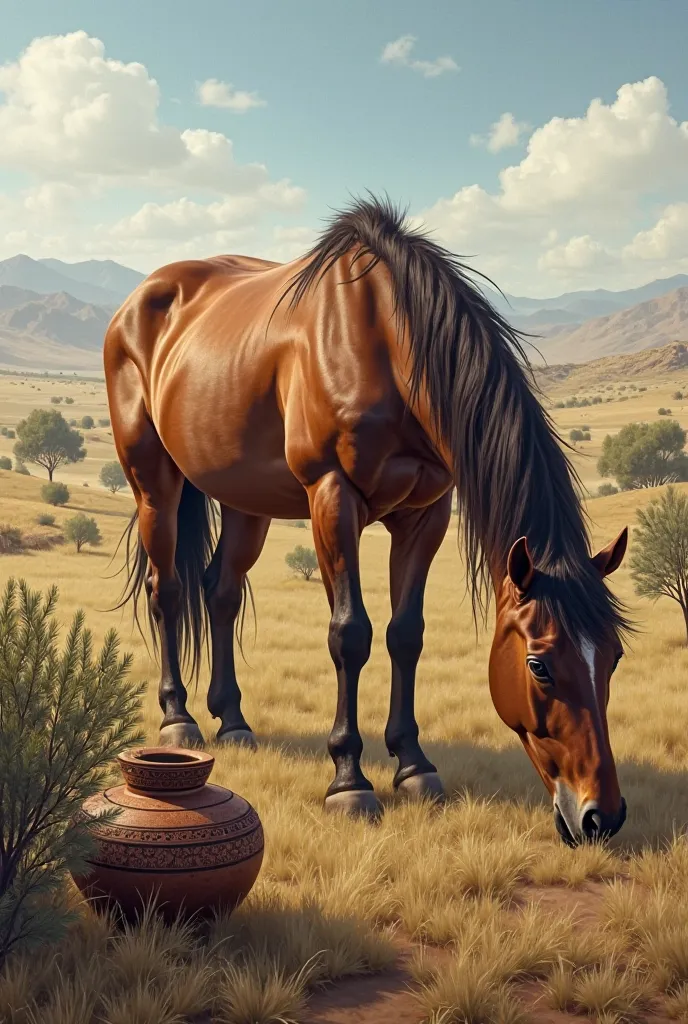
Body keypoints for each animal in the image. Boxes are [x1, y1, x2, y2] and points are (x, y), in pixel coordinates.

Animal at [105, 195, 634, 843]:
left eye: (613, 655)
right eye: (539, 664)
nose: (601, 815)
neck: (385, 338)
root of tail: (141, 298)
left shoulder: (426, 514)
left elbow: (406, 633)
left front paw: (414, 766)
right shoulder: (333, 497)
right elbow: (349, 633)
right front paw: (349, 779)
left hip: (244, 499)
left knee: (220, 591)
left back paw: (233, 721)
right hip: (154, 483)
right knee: (169, 590)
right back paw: (178, 719)